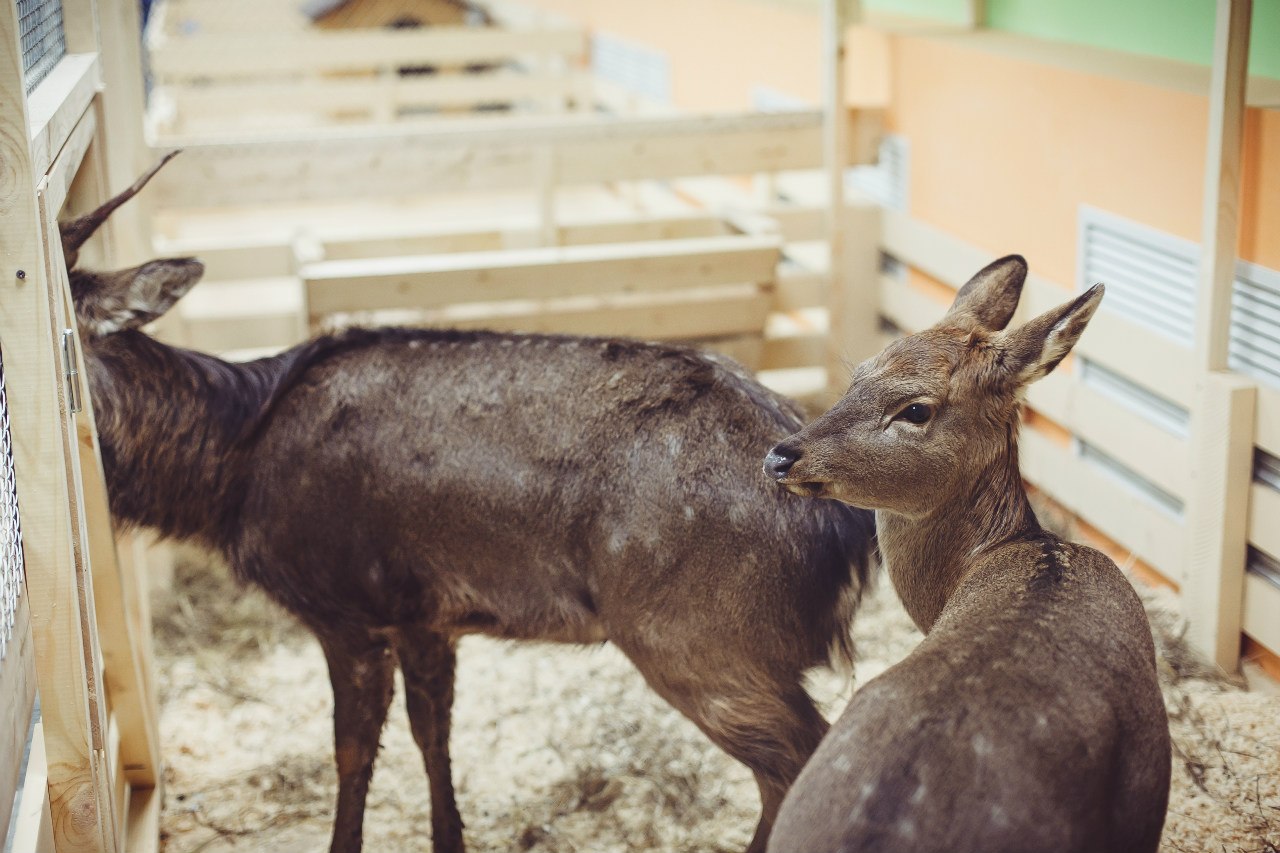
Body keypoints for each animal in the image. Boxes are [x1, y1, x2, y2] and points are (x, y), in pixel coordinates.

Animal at [62, 154, 880, 850]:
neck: (230, 471)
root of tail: (848, 527)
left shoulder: (346, 606)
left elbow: (352, 750)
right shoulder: (427, 614)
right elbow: (434, 733)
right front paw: (449, 837)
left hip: (698, 634)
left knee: (798, 759)